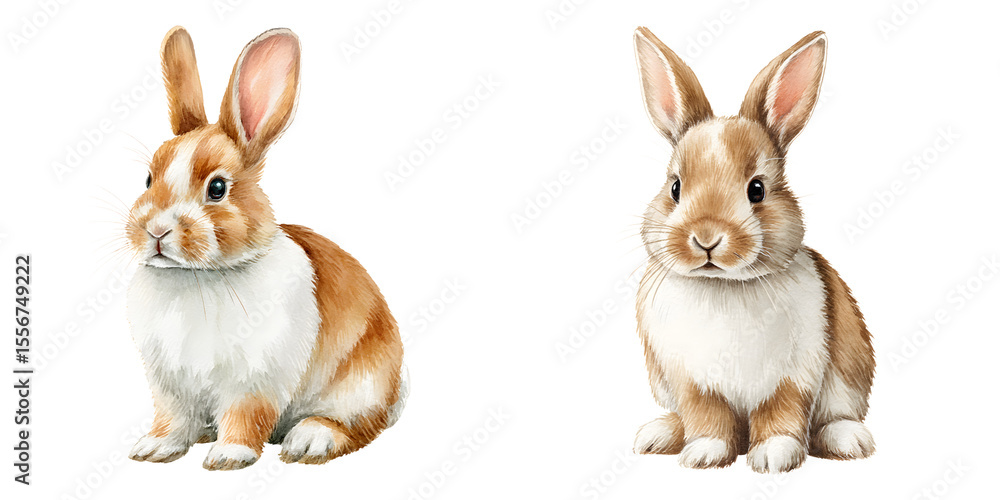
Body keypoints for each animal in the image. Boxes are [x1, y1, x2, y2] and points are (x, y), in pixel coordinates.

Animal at [124, 26, 407, 470]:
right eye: (148, 179)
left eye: (217, 188)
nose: (155, 231)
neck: (199, 277)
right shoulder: (170, 388)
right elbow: (172, 419)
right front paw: (153, 448)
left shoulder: (255, 380)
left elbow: (246, 416)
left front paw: (228, 456)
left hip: (361, 387)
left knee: (359, 426)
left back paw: (310, 440)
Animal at [630, 28, 875, 473]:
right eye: (675, 187)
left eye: (757, 189)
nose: (706, 238)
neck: (724, 287)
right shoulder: (692, 382)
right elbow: (706, 417)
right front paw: (704, 454)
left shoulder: (794, 376)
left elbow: (781, 413)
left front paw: (774, 457)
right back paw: (657, 435)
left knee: (832, 419)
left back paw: (850, 441)